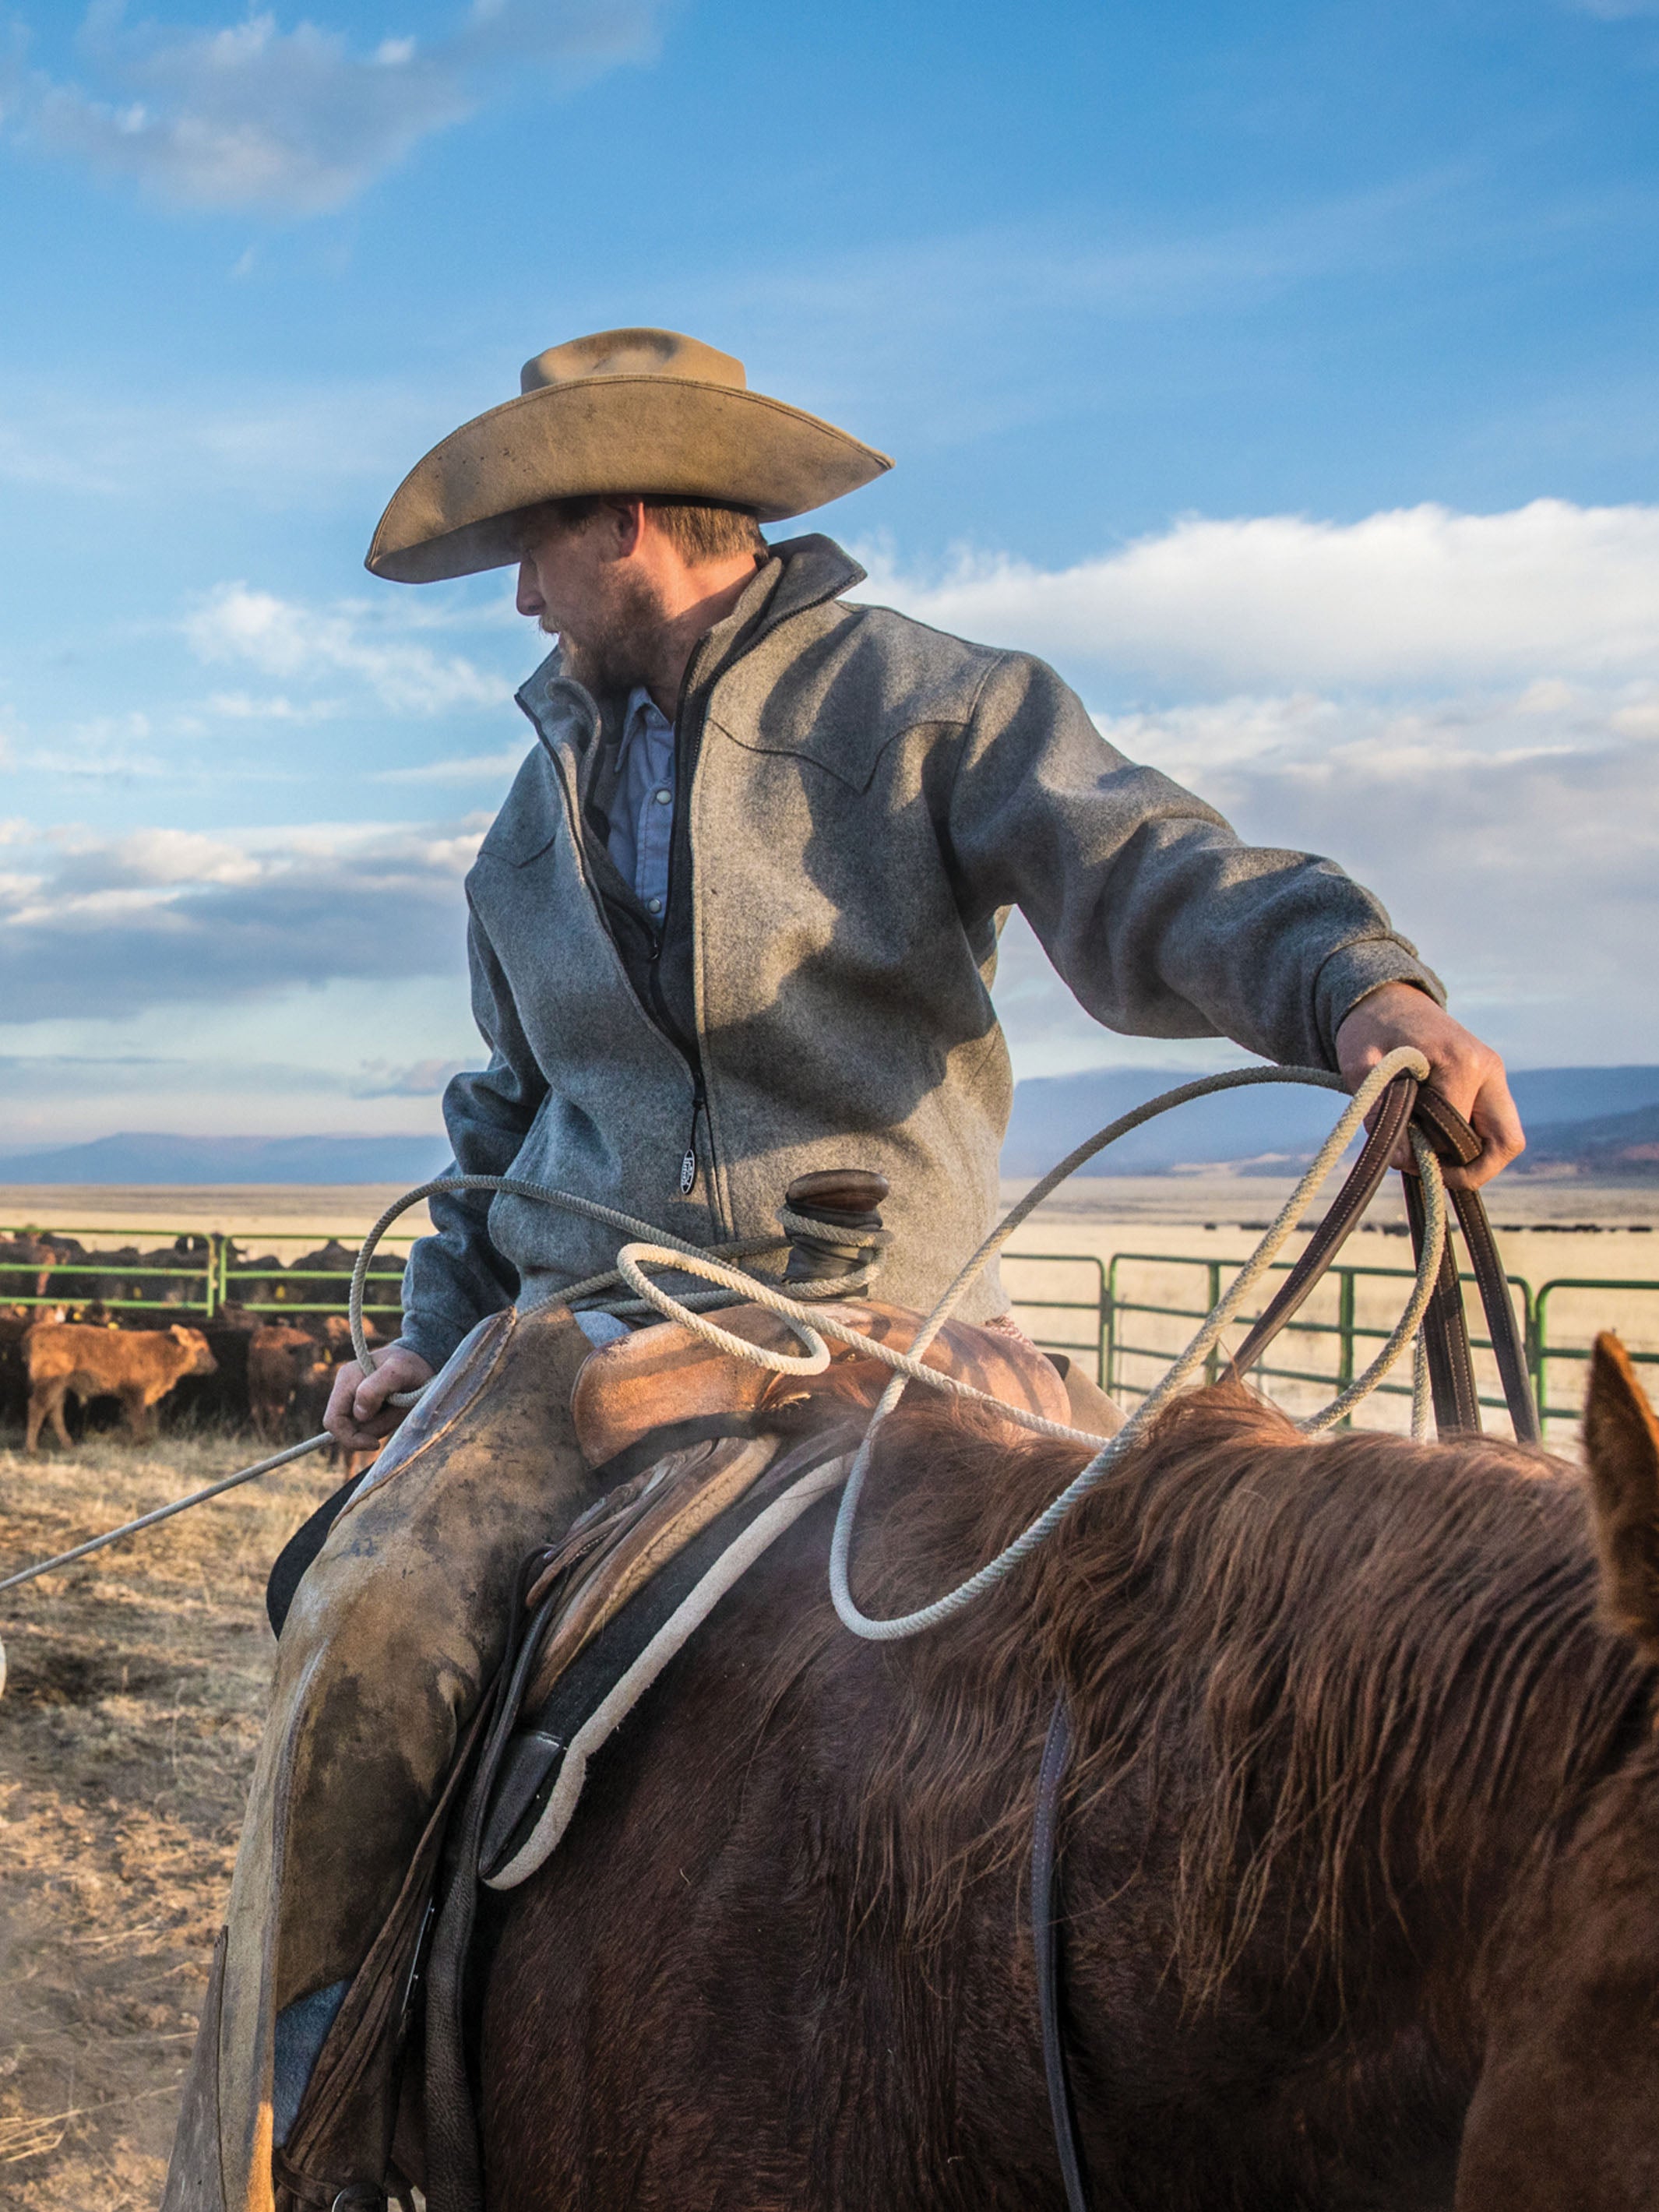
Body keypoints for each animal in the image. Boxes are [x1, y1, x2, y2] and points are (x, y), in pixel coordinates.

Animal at [24, 1309, 217, 1451]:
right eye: (201, 1348)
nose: (216, 1365)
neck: (163, 1351)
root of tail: (39, 1330)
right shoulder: (135, 1394)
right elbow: (139, 1418)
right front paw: (141, 1443)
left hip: (60, 1386)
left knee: (55, 1410)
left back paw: (68, 1445)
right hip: (49, 1384)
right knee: (37, 1407)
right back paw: (32, 1450)